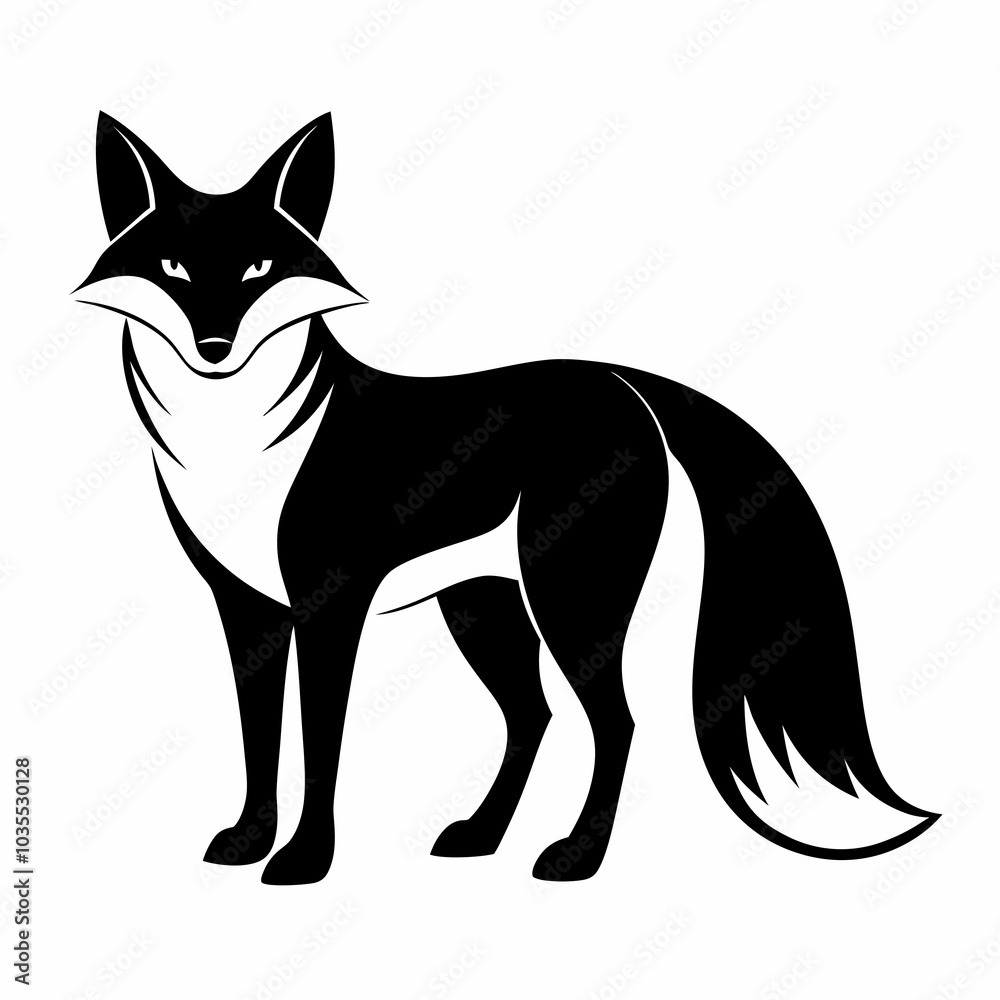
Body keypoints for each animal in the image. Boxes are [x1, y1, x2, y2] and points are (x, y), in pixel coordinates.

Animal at [76, 111, 938, 885]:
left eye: (258, 271)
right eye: (173, 269)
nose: (214, 348)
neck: (233, 446)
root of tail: (622, 382)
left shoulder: (329, 605)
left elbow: (320, 741)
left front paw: (303, 861)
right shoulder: (246, 609)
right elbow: (260, 738)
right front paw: (248, 841)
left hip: (568, 596)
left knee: (613, 720)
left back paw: (575, 858)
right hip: (481, 603)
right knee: (534, 715)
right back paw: (480, 836)